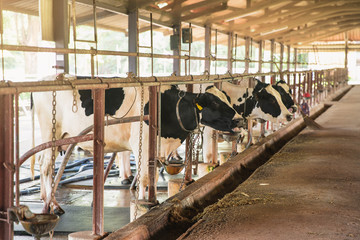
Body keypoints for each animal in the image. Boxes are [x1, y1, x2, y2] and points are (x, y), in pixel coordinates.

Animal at [33, 73, 242, 214]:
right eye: (213, 103)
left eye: (226, 98)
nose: (239, 120)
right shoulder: (142, 141)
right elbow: (144, 177)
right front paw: (143, 202)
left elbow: (153, 176)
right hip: (50, 133)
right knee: (46, 167)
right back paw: (53, 205)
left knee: (47, 165)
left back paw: (47, 200)